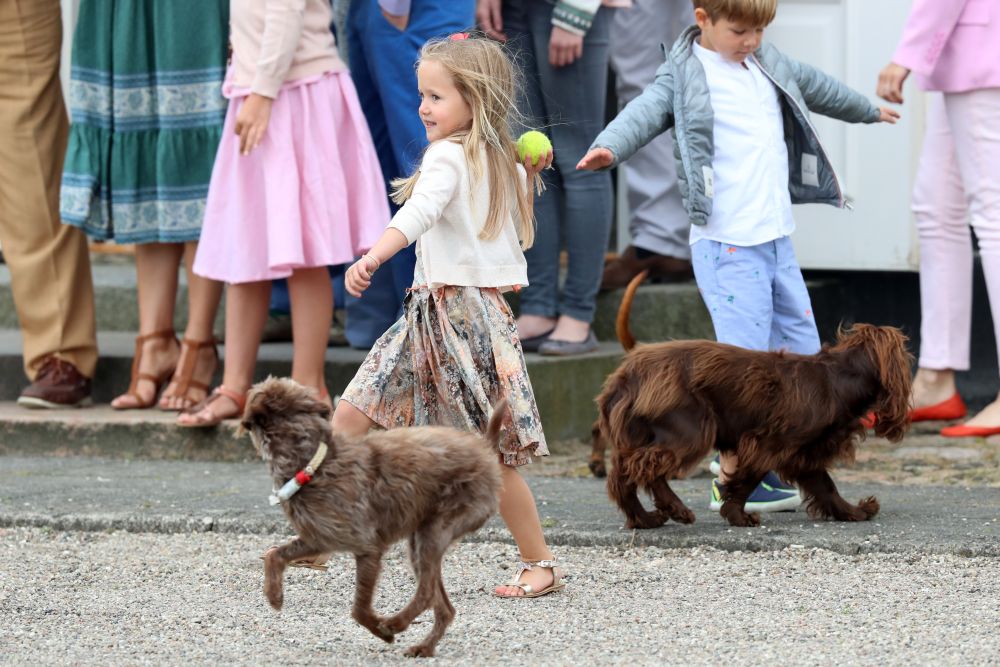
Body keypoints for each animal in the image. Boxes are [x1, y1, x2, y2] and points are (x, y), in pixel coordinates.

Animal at [246, 378, 504, 660]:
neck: (314, 463)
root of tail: (485, 450)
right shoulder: (319, 538)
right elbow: (275, 554)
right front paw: (274, 595)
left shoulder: (367, 549)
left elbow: (358, 610)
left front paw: (383, 632)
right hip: (420, 540)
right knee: (444, 608)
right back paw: (423, 647)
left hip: (434, 532)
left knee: (426, 593)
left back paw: (395, 623)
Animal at [592, 270, 916, 528]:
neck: (839, 376)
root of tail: (627, 372)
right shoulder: (770, 443)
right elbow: (747, 481)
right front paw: (739, 516)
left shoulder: (804, 452)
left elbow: (826, 485)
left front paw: (853, 511)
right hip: (690, 429)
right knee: (637, 467)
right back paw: (666, 511)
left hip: (642, 432)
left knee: (630, 471)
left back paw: (648, 517)